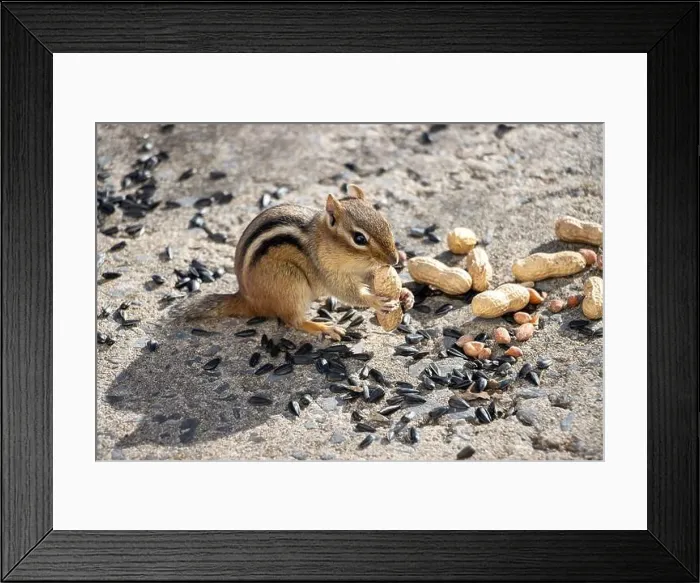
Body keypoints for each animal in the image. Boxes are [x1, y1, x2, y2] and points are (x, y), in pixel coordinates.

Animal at [184, 184, 413, 340]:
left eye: (386, 224)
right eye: (359, 238)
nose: (394, 259)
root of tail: (246, 298)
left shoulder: (364, 270)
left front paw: (405, 294)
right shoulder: (328, 272)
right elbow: (348, 293)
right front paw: (376, 301)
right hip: (291, 283)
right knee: (293, 321)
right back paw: (325, 328)